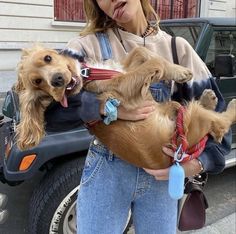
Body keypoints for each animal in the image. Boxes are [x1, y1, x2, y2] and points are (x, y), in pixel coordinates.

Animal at [15, 45, 236, 170]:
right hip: (196, 122)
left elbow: (142, 51)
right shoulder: (124, 84)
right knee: (220, 123)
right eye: (37, 82)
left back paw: (208, 98)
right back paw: (229, 104)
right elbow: (154, 62)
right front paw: (177, 70)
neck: (88, 74)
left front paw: (180, 71)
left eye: (48, 58)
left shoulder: (125, 68)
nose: (57, 80)